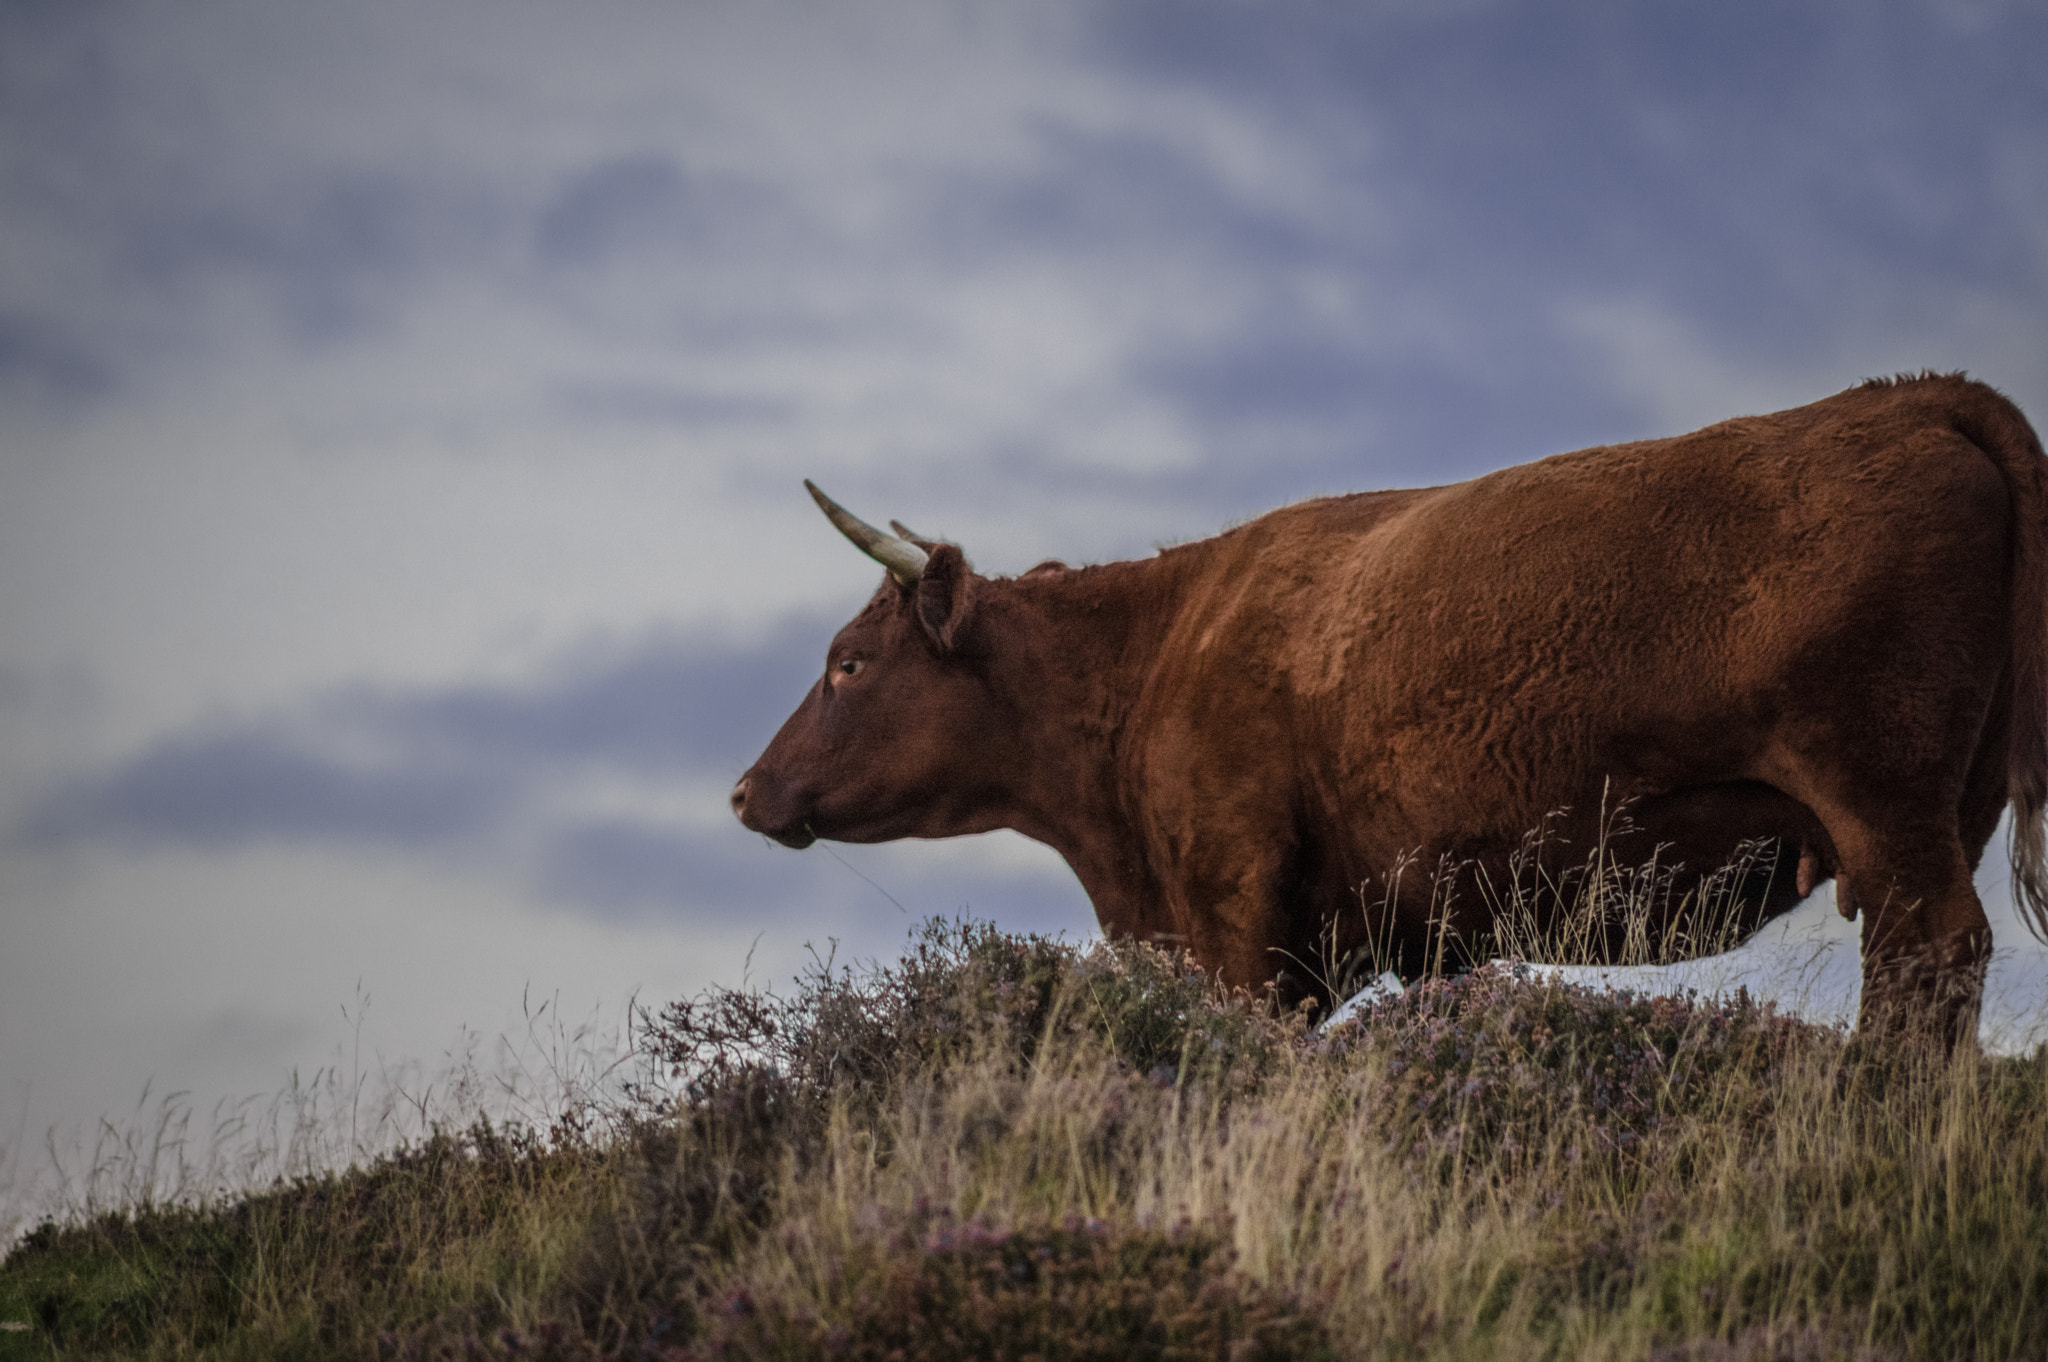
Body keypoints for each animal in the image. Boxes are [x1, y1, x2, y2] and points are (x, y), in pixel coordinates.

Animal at [733, 376, 2048, 1044]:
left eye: (848, 662)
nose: (746, 791)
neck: (1157, 649)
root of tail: (1910, 398)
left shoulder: (1235, 912)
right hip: (1948, 809)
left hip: (1883, 804)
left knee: (1929, 959)